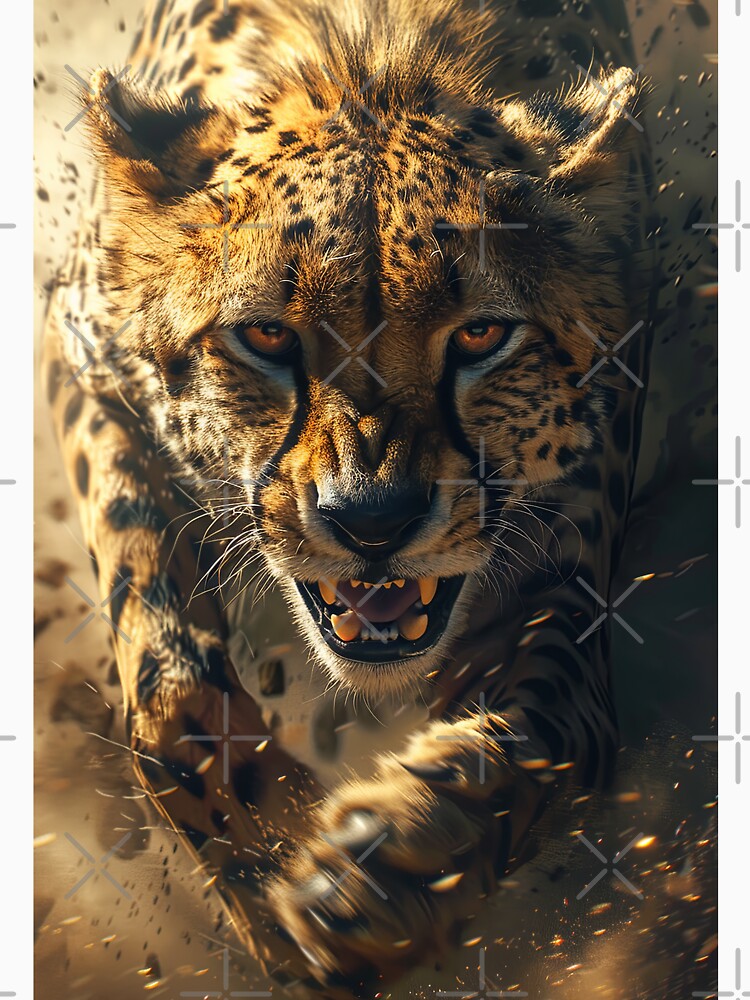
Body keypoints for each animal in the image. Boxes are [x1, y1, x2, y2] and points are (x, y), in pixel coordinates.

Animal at [41, 0, 658, 995]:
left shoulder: (567, 571)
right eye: (265, 336)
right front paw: (267, 868)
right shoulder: (84, 353)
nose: (372, 521)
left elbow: (549, 724)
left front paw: (394, 872)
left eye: (481, 334)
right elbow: (165, 683)